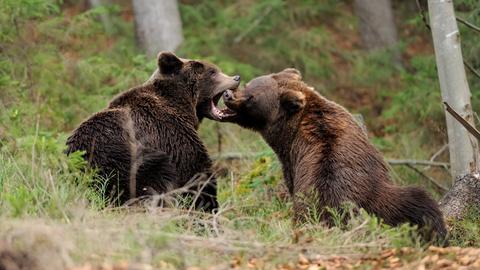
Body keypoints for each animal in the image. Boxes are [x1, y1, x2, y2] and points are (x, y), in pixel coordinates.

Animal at [65, 52, 240, 209]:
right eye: (212, 72)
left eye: (216, 69)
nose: (236, 78)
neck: (181, 105)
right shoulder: (170, 134)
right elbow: (196, 172)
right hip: (123, 159)